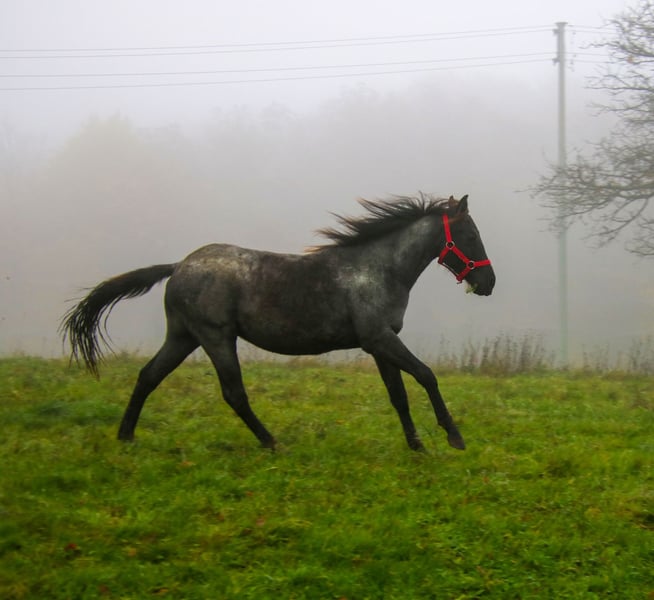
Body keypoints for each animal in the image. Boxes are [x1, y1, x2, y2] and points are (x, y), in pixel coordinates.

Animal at [61, 193, 495, 452]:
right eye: (471, 235)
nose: (488, 283)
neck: (378, 269)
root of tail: (179, 265)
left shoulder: (379, 344)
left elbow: (399, 394)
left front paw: (416, 445)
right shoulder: (379, 339)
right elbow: (426, 375)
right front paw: (454, 436)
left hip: (184, 337)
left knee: (149, 376)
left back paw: (126, 436)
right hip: (216, 338)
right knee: (234, 393)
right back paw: (271, 442)